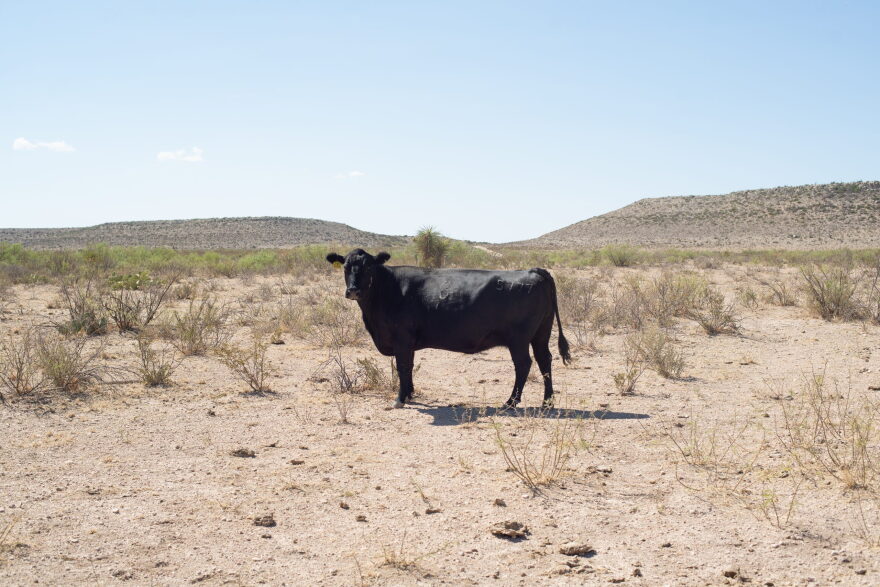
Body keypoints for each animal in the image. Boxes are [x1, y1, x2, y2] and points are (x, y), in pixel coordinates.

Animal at [325, 249, 571, 409]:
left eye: (368, 267)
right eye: (345, 267)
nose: (353, 290)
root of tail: (533, 271)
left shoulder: (402, 338)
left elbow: (403, 366)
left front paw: (400, 399)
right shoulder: (409, 342)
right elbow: (410, 366)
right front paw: (410, 394)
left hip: (519, 338)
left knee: (524, 365)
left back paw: (510, 402)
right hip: (541, 333)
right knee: (544, 360)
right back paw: (547, 402)